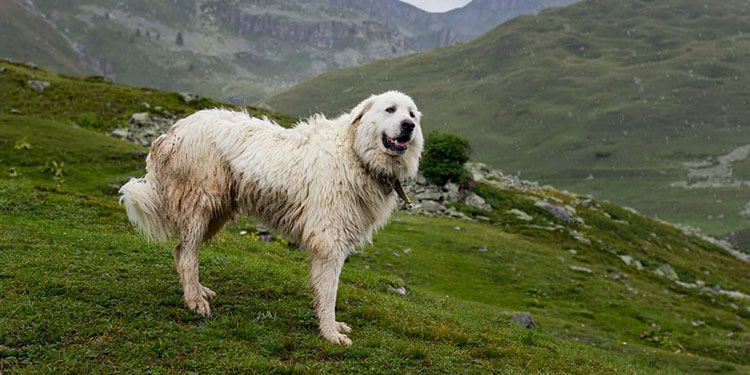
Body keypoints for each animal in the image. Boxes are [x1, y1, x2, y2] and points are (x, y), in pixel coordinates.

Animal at [119, 92, 424, 346]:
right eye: (390, 109)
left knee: (180, 250)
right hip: (200, 204)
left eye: (412, 114)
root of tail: (173, 131)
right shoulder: (329, 241)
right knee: (186, 254)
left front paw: (332, 327)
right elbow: (329, 292)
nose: (408, 125)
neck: (355, 153)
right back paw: (194, 301)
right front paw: (330, 332)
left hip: (215, 213)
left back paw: (197, 291)